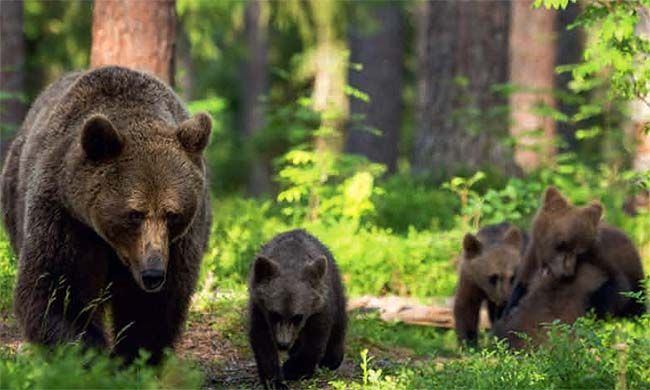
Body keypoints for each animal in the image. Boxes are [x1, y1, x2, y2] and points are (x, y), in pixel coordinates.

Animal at [0, 66, 211, 362]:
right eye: (134, 213)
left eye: (172, 214)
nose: (153, 273)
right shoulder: (66, 218)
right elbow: (59, 289)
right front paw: (87, 353)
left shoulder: (179, 242)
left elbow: (153, 306)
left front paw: (134, 356)